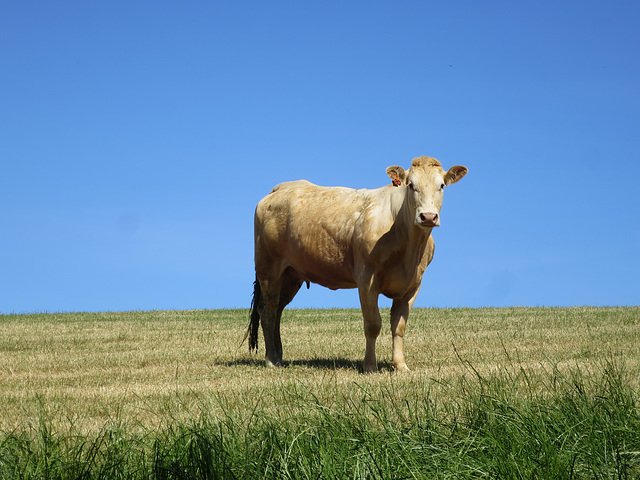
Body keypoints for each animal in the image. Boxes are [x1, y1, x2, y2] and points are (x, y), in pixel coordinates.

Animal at [245, 156, 464, 374]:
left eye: (442, 185)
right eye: (411, 185)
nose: (428, 216)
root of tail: (279, 189)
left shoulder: (413, 284)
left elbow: (399, 326)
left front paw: (400, 365)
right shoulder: (367, 278)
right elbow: (373, 324)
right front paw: (370, 366)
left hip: (291, 275)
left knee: (277, 311)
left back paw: (279, 355)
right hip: (269, 268)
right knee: (268, 312)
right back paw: (271, 359)